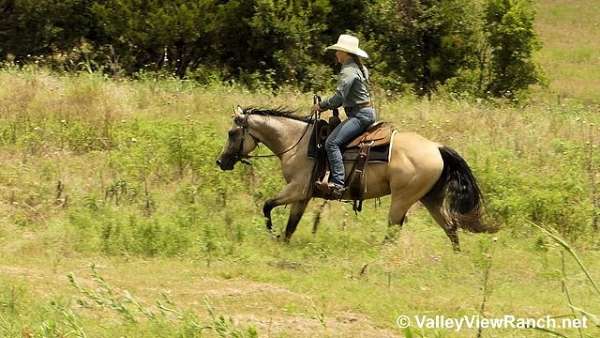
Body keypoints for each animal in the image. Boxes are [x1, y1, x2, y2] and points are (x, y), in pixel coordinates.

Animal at [217, 105, 496, 251]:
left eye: (232, 133)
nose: (221, 162)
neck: (297, 143)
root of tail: (436, 147)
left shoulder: (296, 189)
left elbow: (267, 206)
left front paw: (272, 234)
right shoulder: (303, 195)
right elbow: (292, 224)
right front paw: (283, 243)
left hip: (402, 199)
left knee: (394, 230)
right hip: (431, 198)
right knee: (450, 227)